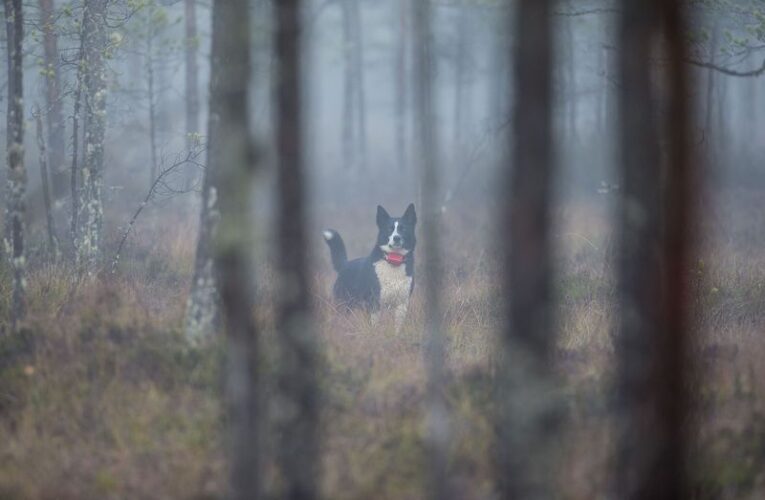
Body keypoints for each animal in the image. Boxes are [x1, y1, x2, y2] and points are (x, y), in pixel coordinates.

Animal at [322, 201, 418, 330]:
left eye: (403, 229)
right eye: (389, 229)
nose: (396, 238)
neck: (392, 261)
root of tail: (345, 265)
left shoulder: (402, 304)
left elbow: (397, 328)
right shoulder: (374, 303)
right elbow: (374, 326)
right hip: (344, 304)